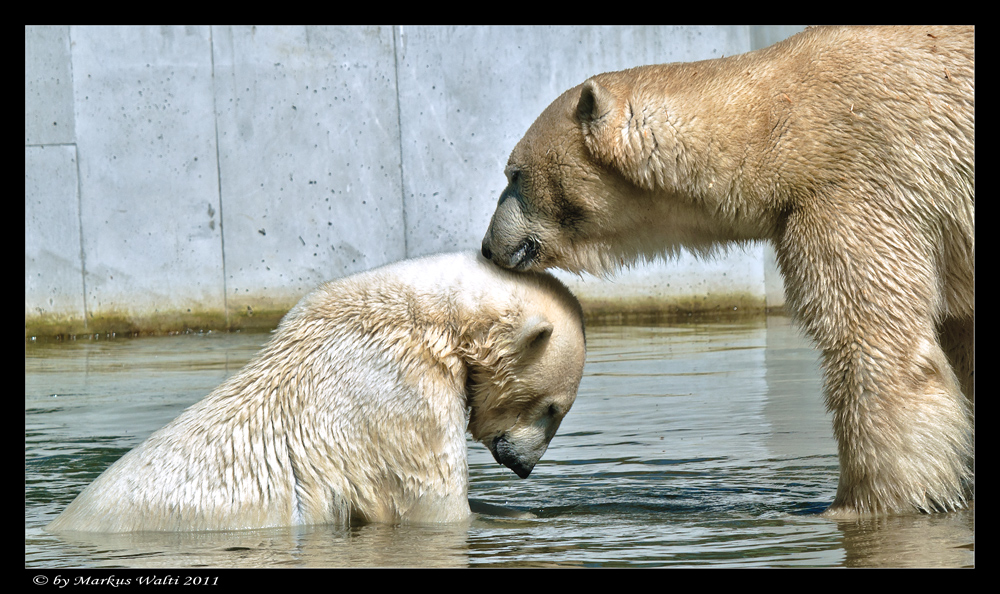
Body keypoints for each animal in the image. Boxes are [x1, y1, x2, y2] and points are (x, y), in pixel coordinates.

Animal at [480, 24, 972, 512]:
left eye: (513, 174)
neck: (777, 123)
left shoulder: (858, 184)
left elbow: (872, 339)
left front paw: (856, 505)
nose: (487, 246)